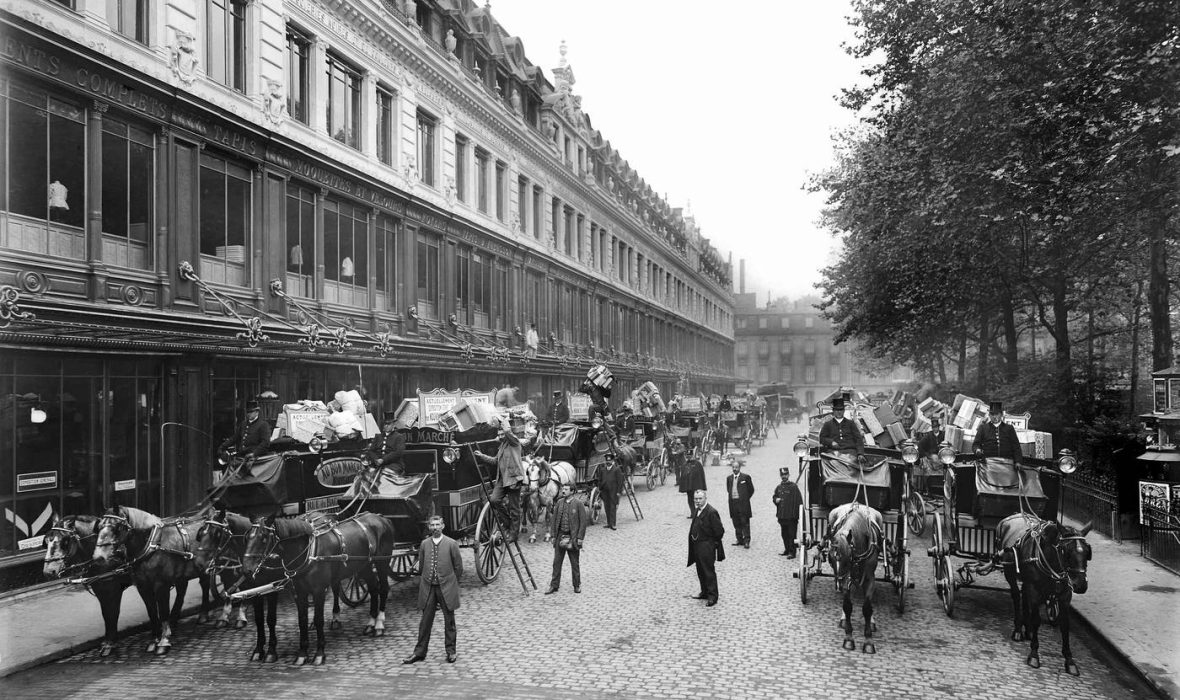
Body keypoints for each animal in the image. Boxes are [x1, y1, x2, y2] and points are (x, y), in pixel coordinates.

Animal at [43, 514, 142, 657]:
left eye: (65, 541)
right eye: (46, 541)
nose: (48, 572)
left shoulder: (112, 589)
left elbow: (112, 613)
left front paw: (109, 643)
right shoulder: (100, 588)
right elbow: (106, 614)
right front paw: (109, 640)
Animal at [92, 505, 224, 655]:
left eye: (116, 527)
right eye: (99, 527)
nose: (98, 558)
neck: (153, 544)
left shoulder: (161, 585)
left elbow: (163, 611)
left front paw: (163, 641)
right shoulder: (143, 587)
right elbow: (152, 612)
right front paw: (153, 640)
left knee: (207, 584)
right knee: (195, 586)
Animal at [241, 511, 395, 665]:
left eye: (264, 538)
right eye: (247, 537)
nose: (247, 569)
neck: (309, 553)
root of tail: (381, 518)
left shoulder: (318, 591)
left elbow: (318, 619)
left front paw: (319, 654)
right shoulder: (298, 592)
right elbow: (300, 620)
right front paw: (302, 654)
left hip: (382, 563)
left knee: (383, 589)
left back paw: (379, 624)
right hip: (364, 566)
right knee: (373, 588)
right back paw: (370, 623)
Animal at [826, 502, 884, 654]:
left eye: (847, 559)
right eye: (830, 559)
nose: (838, 584)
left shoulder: (869, 579)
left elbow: (867, 608)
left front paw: (868, 641)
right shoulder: (847, 579)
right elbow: (847, 606)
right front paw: (848, 638)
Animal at [997, 513, 1093, 675]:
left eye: (1087, 552)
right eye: (1066, 551)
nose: (1081, 585)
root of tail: (1013, 516)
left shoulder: (1065, 595)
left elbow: (1065, 625)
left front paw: (1070, 661)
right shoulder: (1034, 590)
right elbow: (1036, 620)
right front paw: (1034, 654)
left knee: (1024, 596)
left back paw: (1027, 630)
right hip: (1010, 573)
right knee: (1016, 596)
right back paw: (1018, 630)